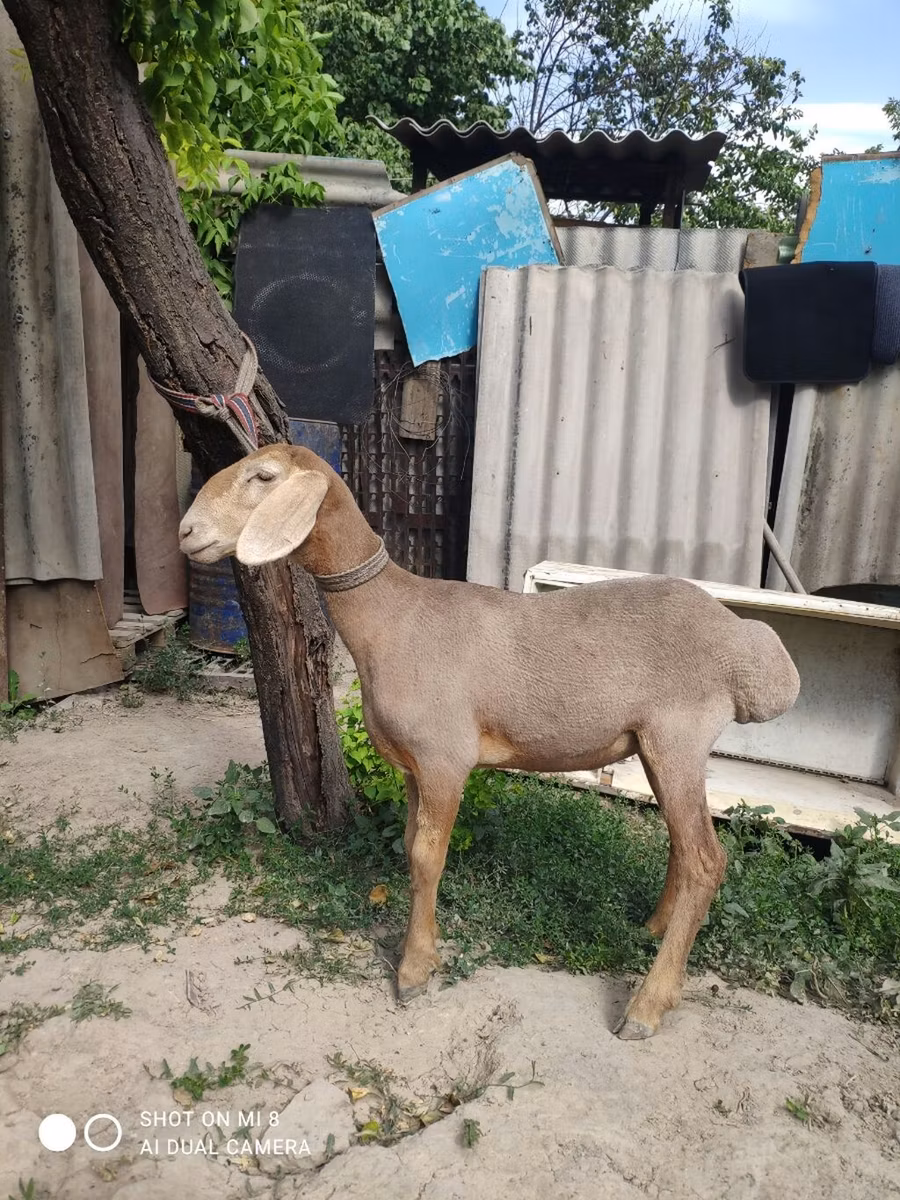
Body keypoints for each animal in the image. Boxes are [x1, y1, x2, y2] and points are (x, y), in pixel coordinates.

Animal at [179, 444, 800, 1039]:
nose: (186, 532)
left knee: (706, 862)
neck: (391, 617)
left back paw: (647, 1007)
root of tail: (747, 648)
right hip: (656, 746)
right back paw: (652, 928)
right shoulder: (412, 766)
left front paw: (414, 971)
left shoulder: (444, 757)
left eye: (263, 476)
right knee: (683, 845)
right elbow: (410, 847)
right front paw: (415, 948)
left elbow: (427, 858)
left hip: (679, 734)